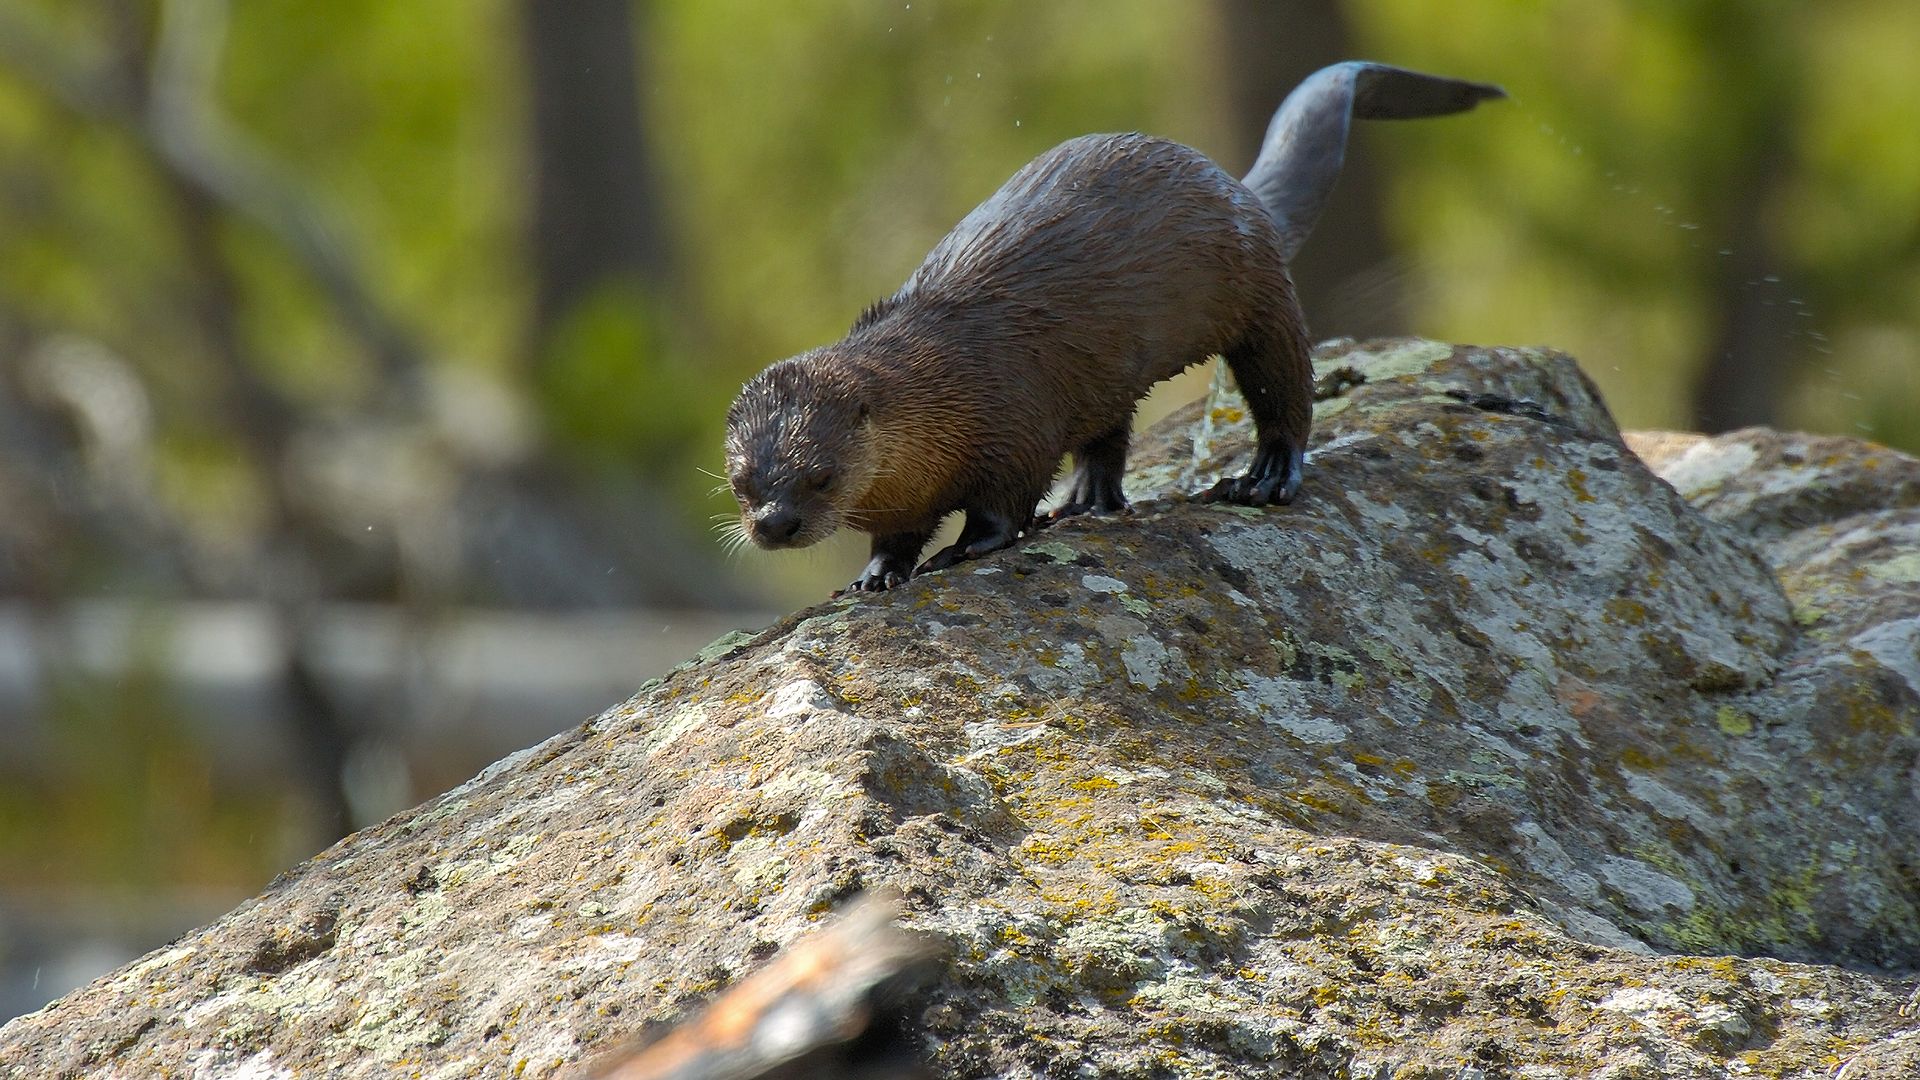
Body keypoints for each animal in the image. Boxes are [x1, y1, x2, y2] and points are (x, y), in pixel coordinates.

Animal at [725, 62, 1503, 593]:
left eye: (821, 476)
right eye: (742, 482)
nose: (774, 524)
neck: (942, 386)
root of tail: (1241, 192)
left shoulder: (1014, 420)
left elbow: (1004, 501)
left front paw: (969, 547)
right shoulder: (908, 489)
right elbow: (897, 533)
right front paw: (876, 574)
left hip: (1261, 298)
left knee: (1286, 391)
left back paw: (1262, 479)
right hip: (1109, 373)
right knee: (1109, 433)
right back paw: (1087, 503)